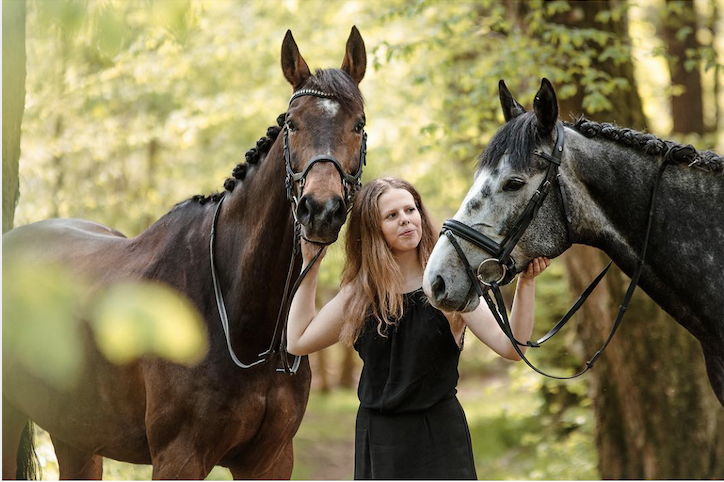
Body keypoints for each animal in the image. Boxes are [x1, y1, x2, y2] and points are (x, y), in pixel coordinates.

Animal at [2, 28, 368, 480]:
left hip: (76, 433)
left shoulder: (272, 458)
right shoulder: (180, 456)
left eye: (358, 124)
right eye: (293, 125)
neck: (242, 318)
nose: (320, 210)